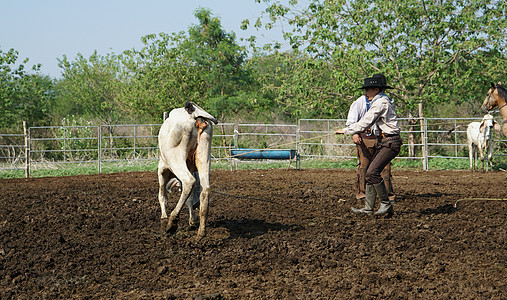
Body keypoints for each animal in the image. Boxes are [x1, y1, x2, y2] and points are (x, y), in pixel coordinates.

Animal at [159, 102, 218, 239]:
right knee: (205, 188)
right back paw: (201, 232)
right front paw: (192, 221)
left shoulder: (162, 169)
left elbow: (162, 195)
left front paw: (164, 217)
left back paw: (172, 222)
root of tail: (195, 115)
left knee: (189, 181)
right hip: (204, 156)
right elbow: (190, 198)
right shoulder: (191, 168)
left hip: (175, 158)